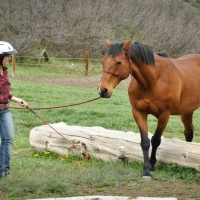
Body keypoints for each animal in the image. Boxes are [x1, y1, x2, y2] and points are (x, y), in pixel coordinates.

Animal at [97, 38, 200, 178]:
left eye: (119, 62)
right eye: (103, 61)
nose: (103, 90)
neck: (154, 80)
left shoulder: (164, 115)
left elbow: (156, 140)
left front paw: (152, 164)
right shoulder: (138, 112)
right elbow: (145, 142)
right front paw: (146, 169)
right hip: (187, 111)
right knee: (188, 134)